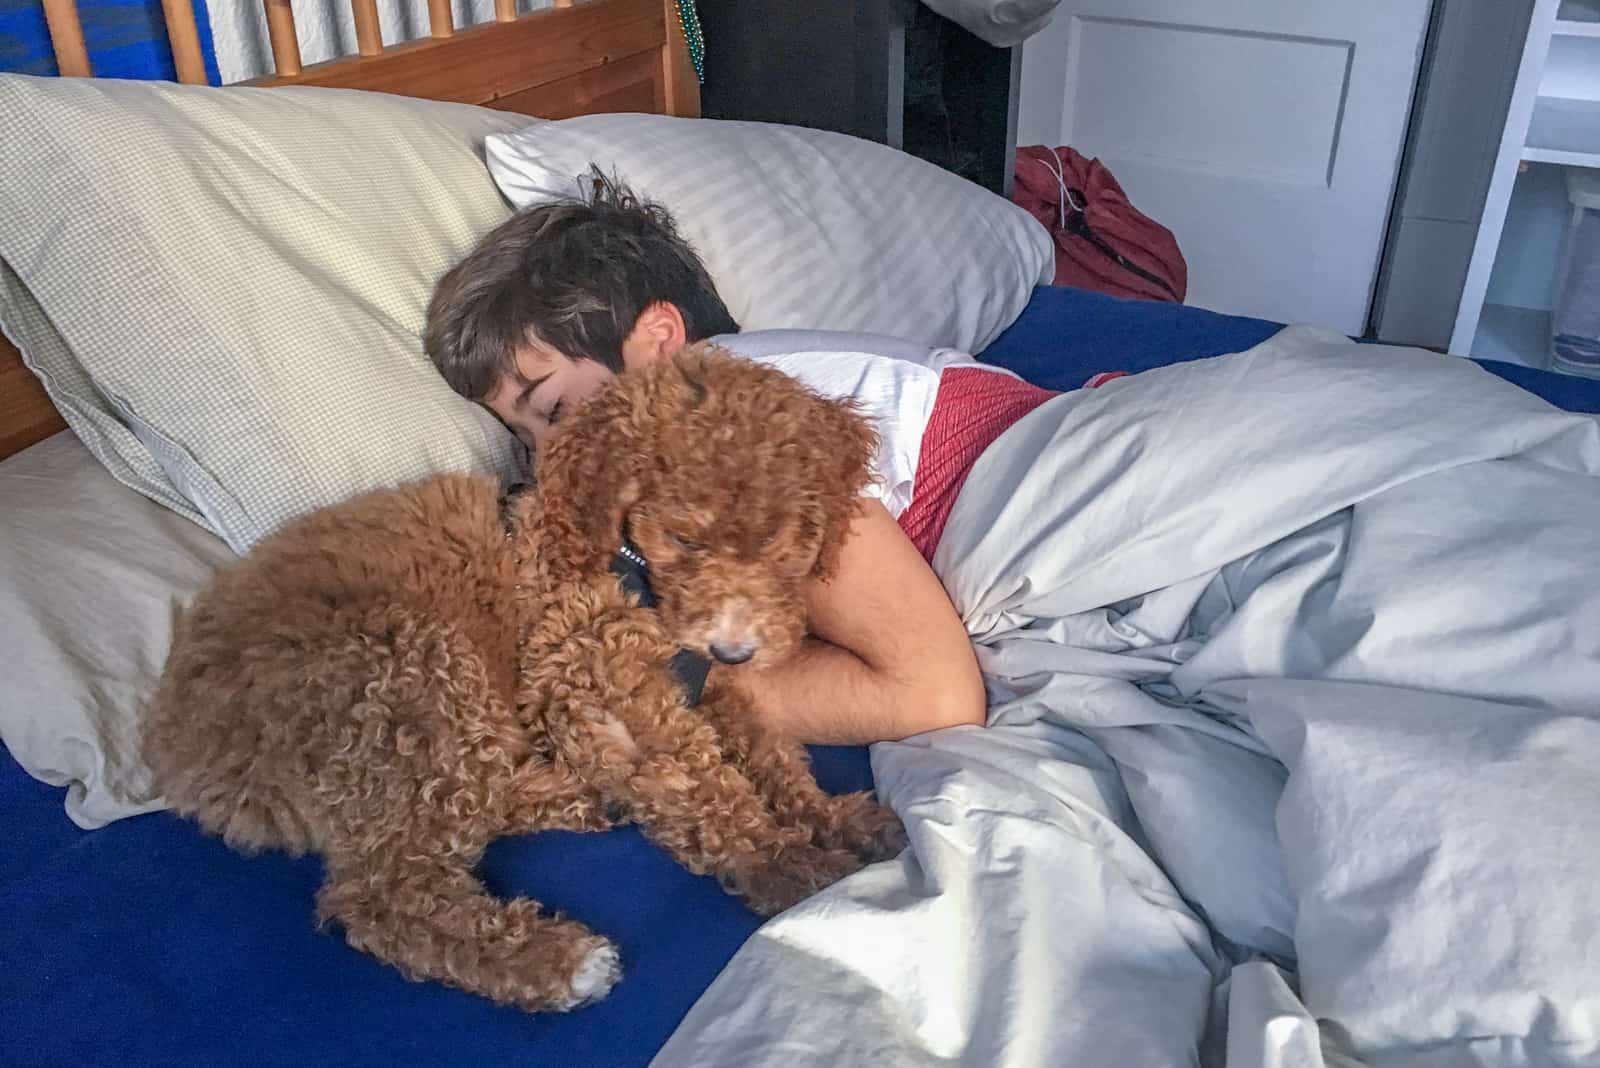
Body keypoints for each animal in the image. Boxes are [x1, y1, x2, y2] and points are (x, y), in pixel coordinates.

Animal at [137, 346, 908, 1016]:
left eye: (777, 537)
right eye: (685, 538)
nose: (736, 646)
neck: (623, 560)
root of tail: (182, 756)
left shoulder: (696, 681)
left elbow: (765, 750)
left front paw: (832, 817)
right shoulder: (584, 674)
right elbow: (701, 781)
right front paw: (782, 861)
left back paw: (580, 797)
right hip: (412, 675)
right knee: (382, 892)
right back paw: (554, 961)